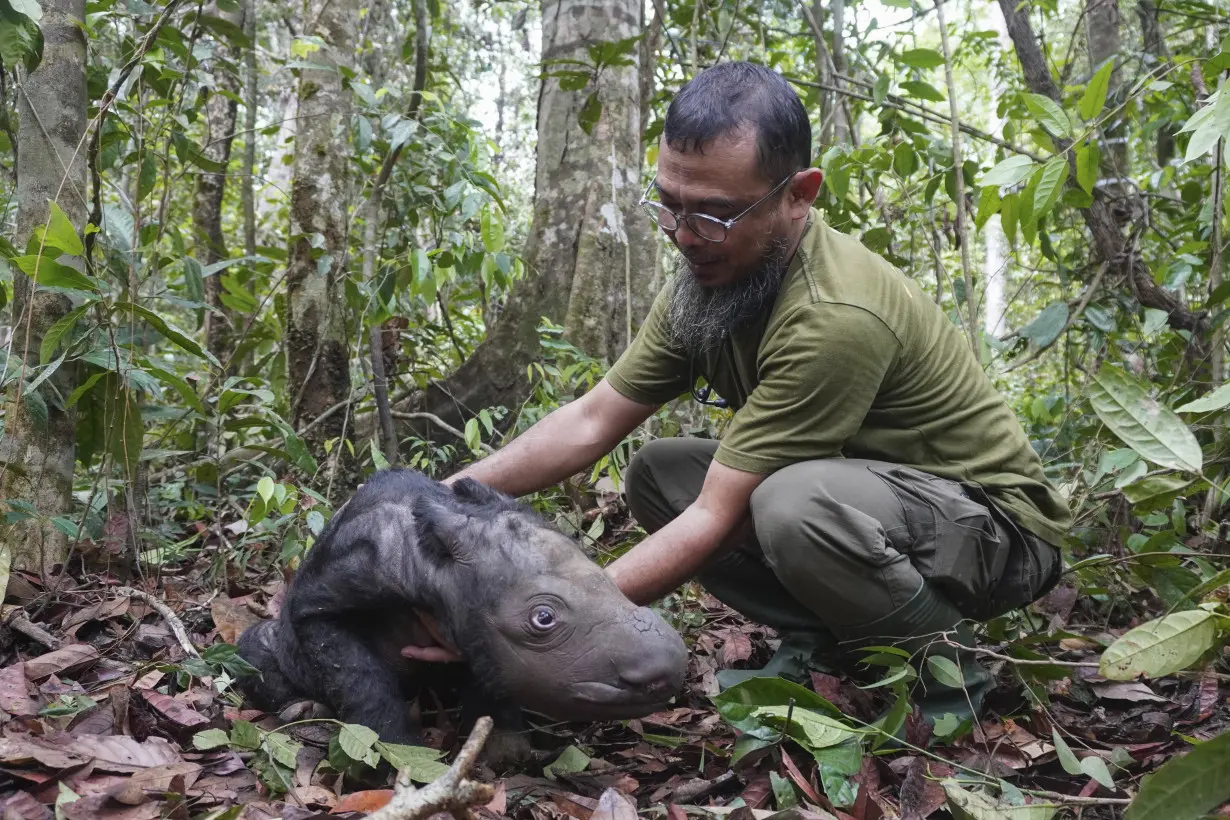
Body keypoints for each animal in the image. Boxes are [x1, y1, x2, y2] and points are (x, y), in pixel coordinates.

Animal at [232, 467, 693, 757]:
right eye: (543, 619)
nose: (668, 670)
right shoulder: (324, 600)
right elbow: (357, 675)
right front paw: (401, 753)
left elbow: (489, 676)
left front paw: (505, 749)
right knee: (253, 649)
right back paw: (300, 711)